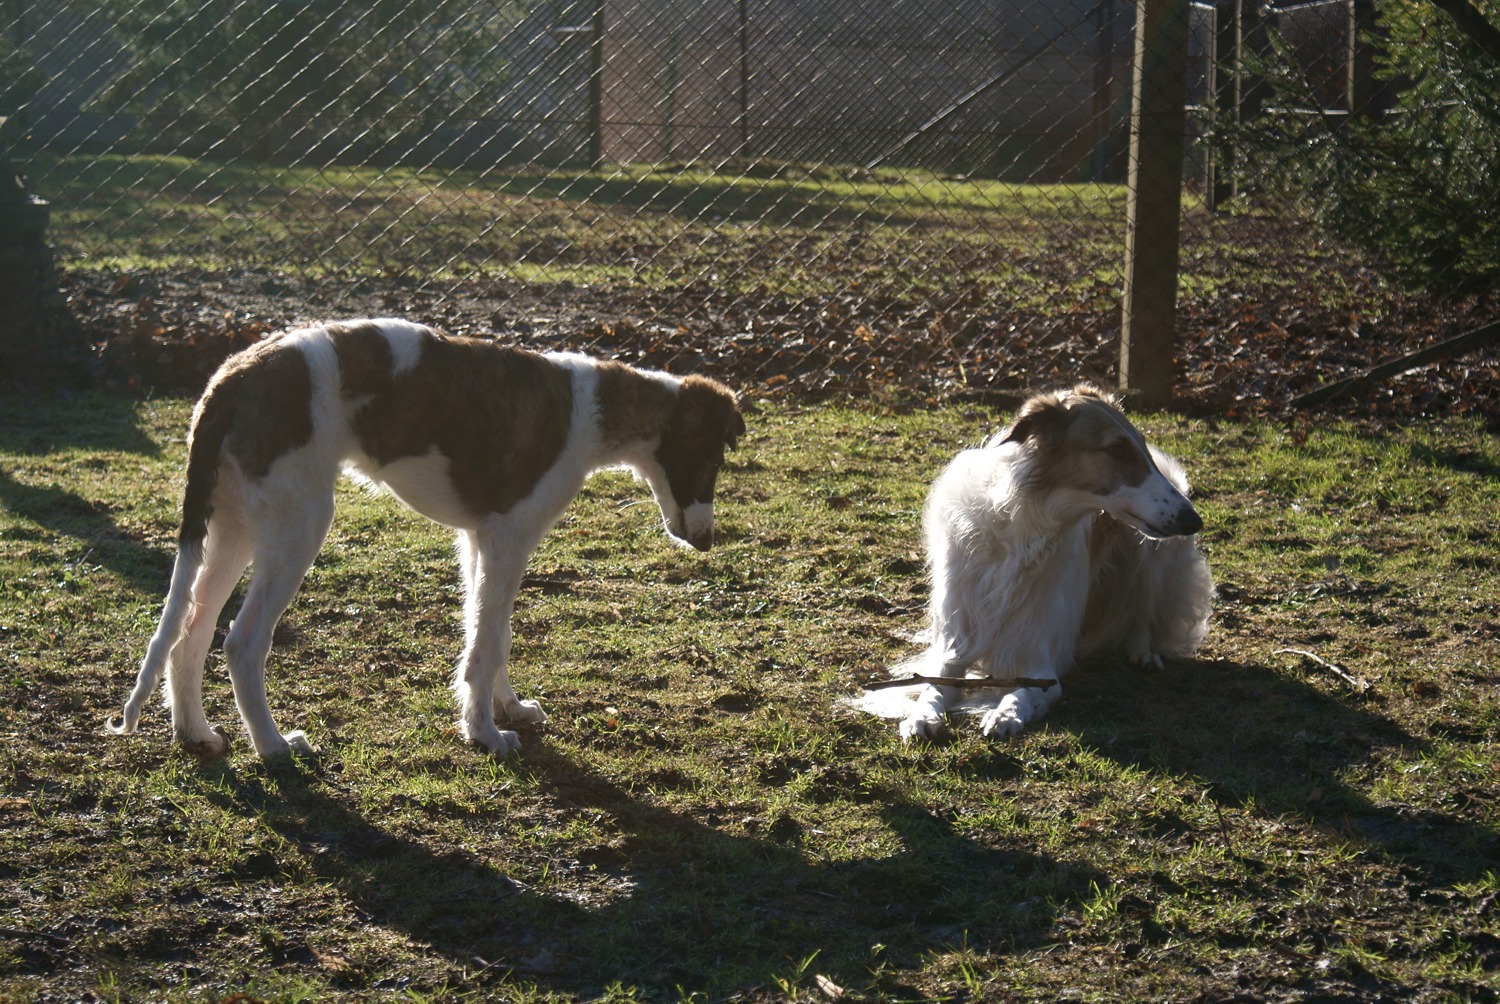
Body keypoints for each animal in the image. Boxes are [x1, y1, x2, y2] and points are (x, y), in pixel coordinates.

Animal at [108, 316, 747, 756]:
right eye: (714, 457)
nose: (707, 541)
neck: (593, 409)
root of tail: (229, 378)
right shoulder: (509, 536)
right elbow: (486, 646)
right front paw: (485, 734)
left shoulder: (481, 541)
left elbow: (493, 636)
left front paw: (507, 709)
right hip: (298, 525)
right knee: (241, 641)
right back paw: (273, 747)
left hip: (236, 528)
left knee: (190, 631)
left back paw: (196, 733)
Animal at [852, 387, 1212, 741]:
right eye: (1117, 448)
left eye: (1141, 448)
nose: (1193, 521)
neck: (1020, 527)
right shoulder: (955, 647)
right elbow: (933, 687)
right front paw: (921, 717)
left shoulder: (1040, 664)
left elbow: (1021, 693)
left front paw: (1004, 715)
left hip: (1154, 554)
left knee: (1144, 612)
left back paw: (1143, 652)